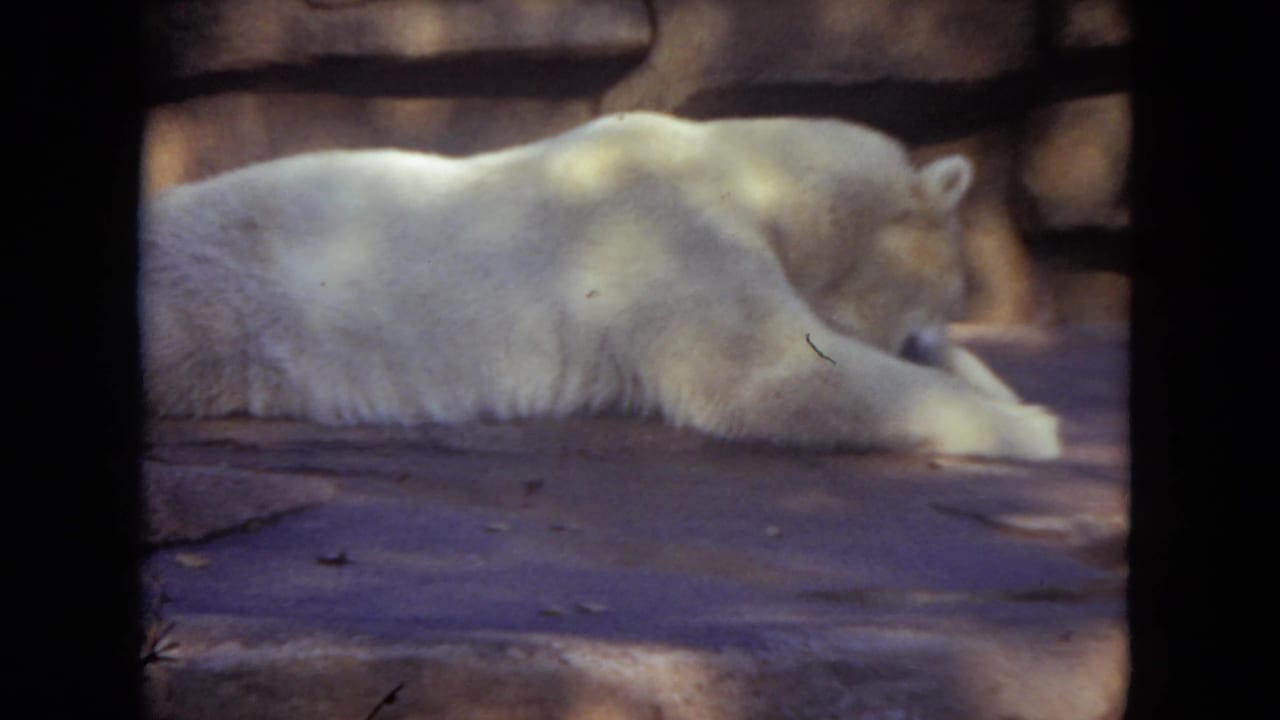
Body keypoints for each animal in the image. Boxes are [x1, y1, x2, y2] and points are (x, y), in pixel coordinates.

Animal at [139, 112, 1060, 460]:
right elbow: (769, 376)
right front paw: (1032, 426)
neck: (742, 170)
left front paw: (1002, 388)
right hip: (210, 304)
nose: (926, 342)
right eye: (949, 293)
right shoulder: (660, 233)